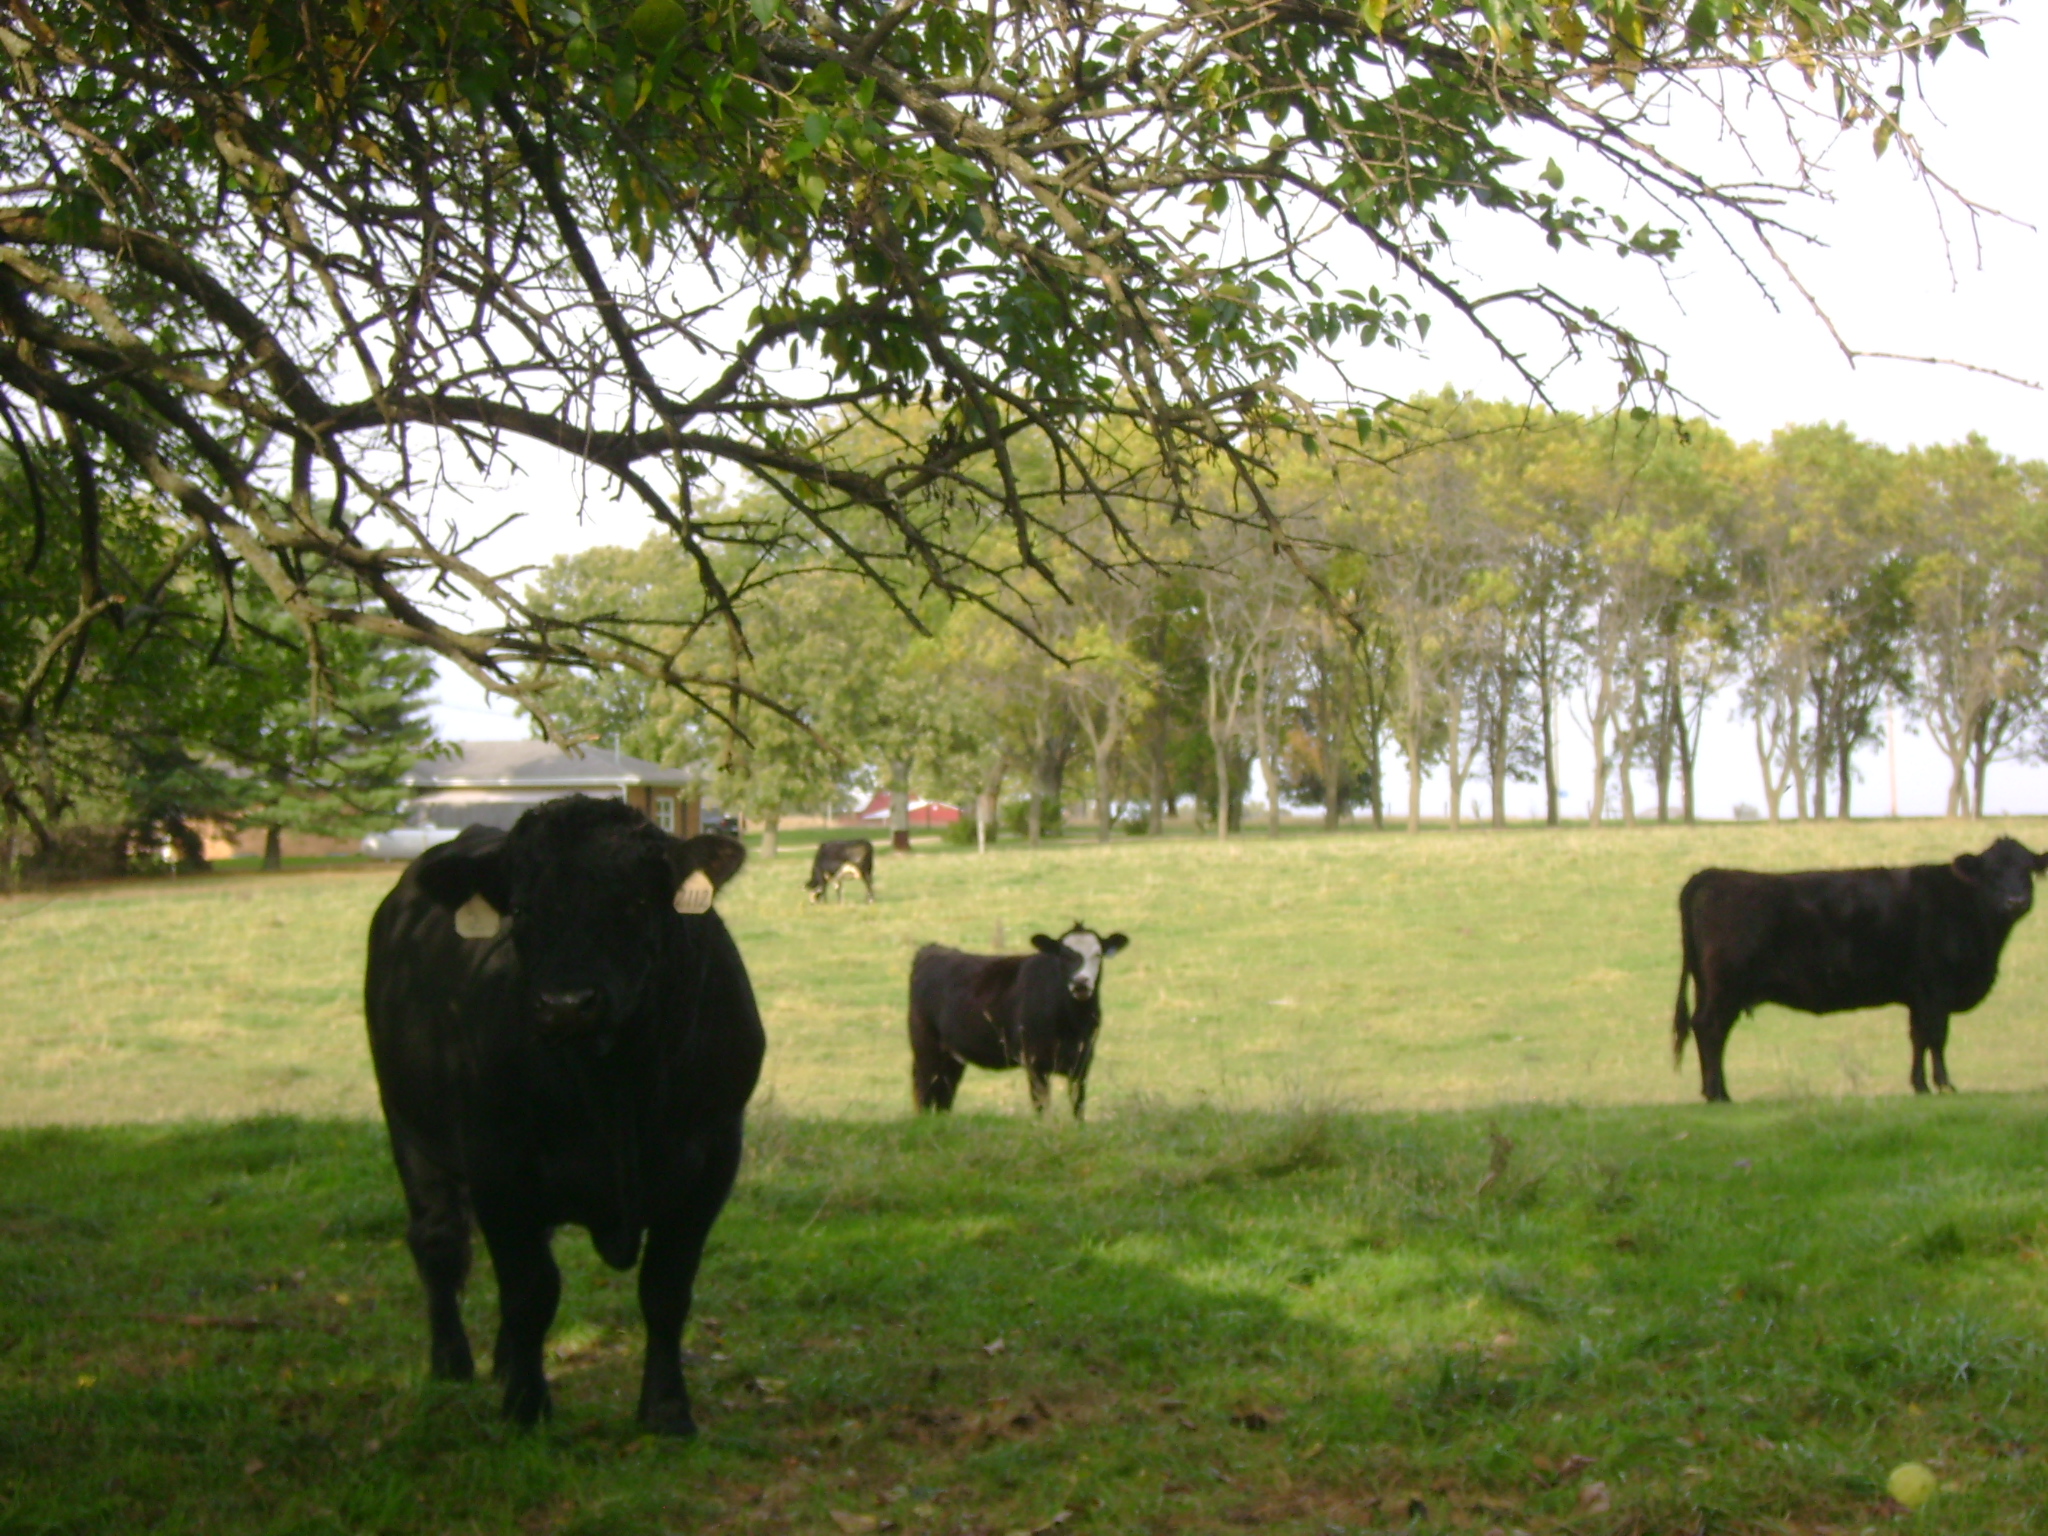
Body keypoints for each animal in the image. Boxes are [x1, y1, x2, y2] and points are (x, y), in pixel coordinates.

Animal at [364, 794, 763, 1434]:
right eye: (522, 909)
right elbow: (530, 1291)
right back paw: (452, 1364)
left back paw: (504, 1362)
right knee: (440, 1242)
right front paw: (527, 1409)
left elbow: (666, 1287)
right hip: (407, 1123)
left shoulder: (712, 1158)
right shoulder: (498, 1162)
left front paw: (666, 1411)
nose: (566, 1004)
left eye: (637, 902)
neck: (617, 1085)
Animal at [908, 923, 1129, 1119]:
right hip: (926, 1048)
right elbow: (1042, 1106)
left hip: (952, 1055)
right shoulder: (1035, 1061)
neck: (1072, 1023)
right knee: (924, 1090)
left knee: (944, 1093)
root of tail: (932, 949)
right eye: (1064, 955)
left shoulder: (1082, 1061)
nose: (1081, 983)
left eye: (1098, 955)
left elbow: (1078, 1106)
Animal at [1673, 836, 2048, 1103]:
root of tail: (1713, 874)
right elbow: (1937, 1037)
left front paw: (1920, 1085)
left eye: (2027, 869)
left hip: (1711, 987)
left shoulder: (1918, 995)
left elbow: (1918, 1038)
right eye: (1992, 872)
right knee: (1710, 1029)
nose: (2016, 901)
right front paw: (1944, 1085)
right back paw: (1717, 1094)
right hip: (1725, 986)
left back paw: (1717, 1091)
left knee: (1708, 1030)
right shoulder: (1936, 988)